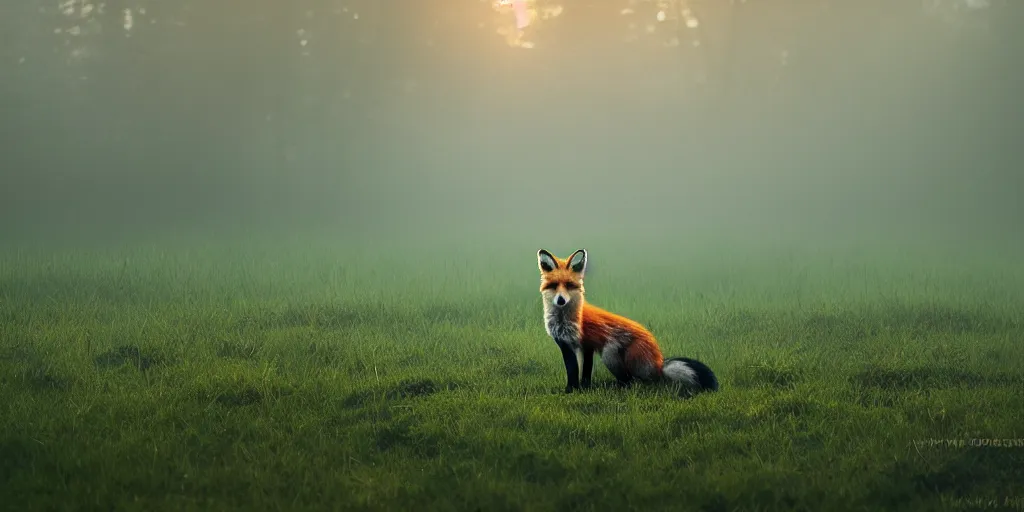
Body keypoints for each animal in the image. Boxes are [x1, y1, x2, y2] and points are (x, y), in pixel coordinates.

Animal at [536, 248, 720, 395]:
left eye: (569, 285)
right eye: (554, 285)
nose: (561, 300)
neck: (566, 320)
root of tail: (659, 363)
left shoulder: (587, 344)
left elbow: (585, 372)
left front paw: (582, 389)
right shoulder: (565, 344)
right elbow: (572, 371)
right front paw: (571, 390)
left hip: (609, 353)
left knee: (633, 381)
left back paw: (619, 387)